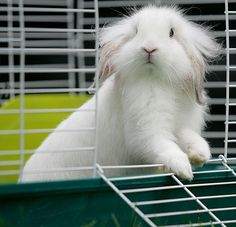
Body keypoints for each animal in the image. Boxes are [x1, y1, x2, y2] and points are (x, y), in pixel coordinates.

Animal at [19, 5, 221, 183]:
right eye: (137, 31)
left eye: (171, 33)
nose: (149, 48)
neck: (157, 80)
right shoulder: (147, 132)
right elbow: (163, 146)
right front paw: (183, 169)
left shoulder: (183, 126)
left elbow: (189, 138)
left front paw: (201, 155)